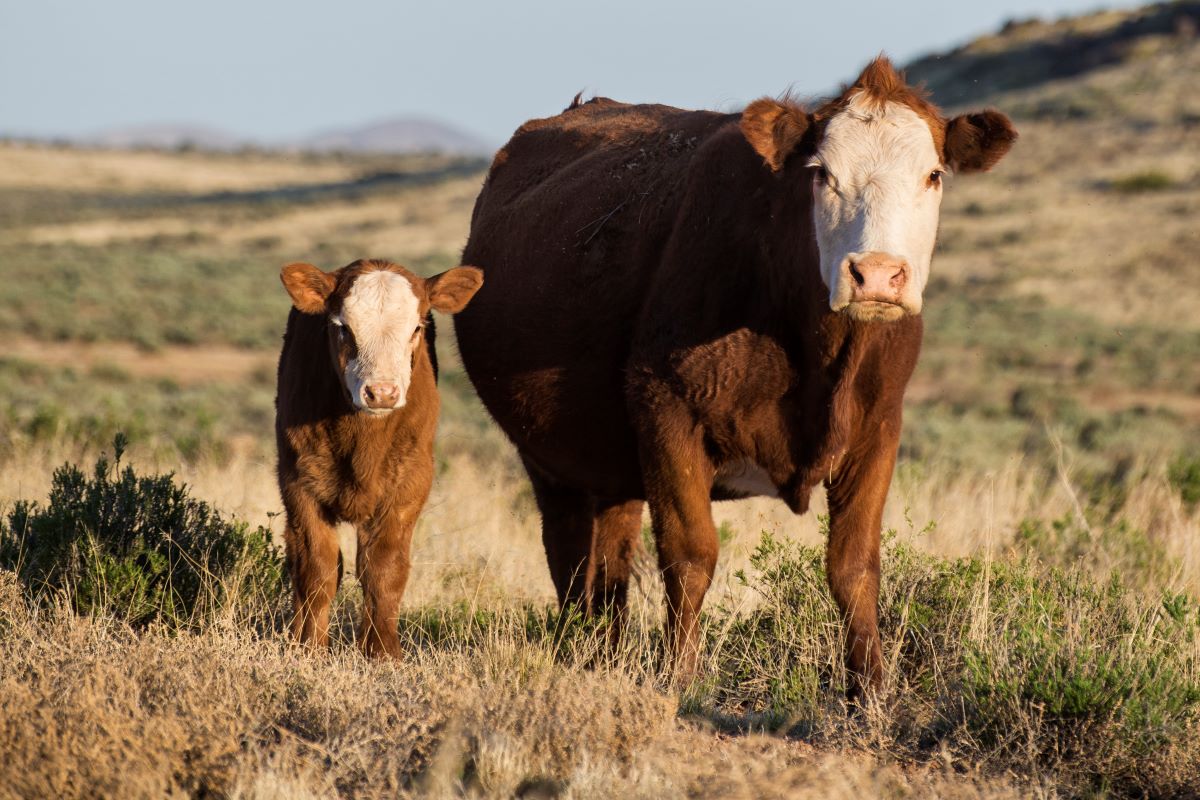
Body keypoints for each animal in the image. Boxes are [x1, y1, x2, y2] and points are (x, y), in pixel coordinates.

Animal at [274, 260, 480, 662]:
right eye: (342, 327)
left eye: (417, 327)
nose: (381, 392)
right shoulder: (298, 481)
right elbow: (318, 567)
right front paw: (308, 647)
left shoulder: (409, 485)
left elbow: (384, 569)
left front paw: (382, 652)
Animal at [453, 56, 1017, 695]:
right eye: (821, 175)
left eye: (933, 176)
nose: (876, 275)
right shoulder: (666, 411)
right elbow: (690, 556)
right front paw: (679, 677)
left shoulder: (878, 428)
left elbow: (854, 565)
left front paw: (869, 689)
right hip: (548, 458)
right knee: (570, 557)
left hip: (610, 464)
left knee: (610, 561)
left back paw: (607, 654)